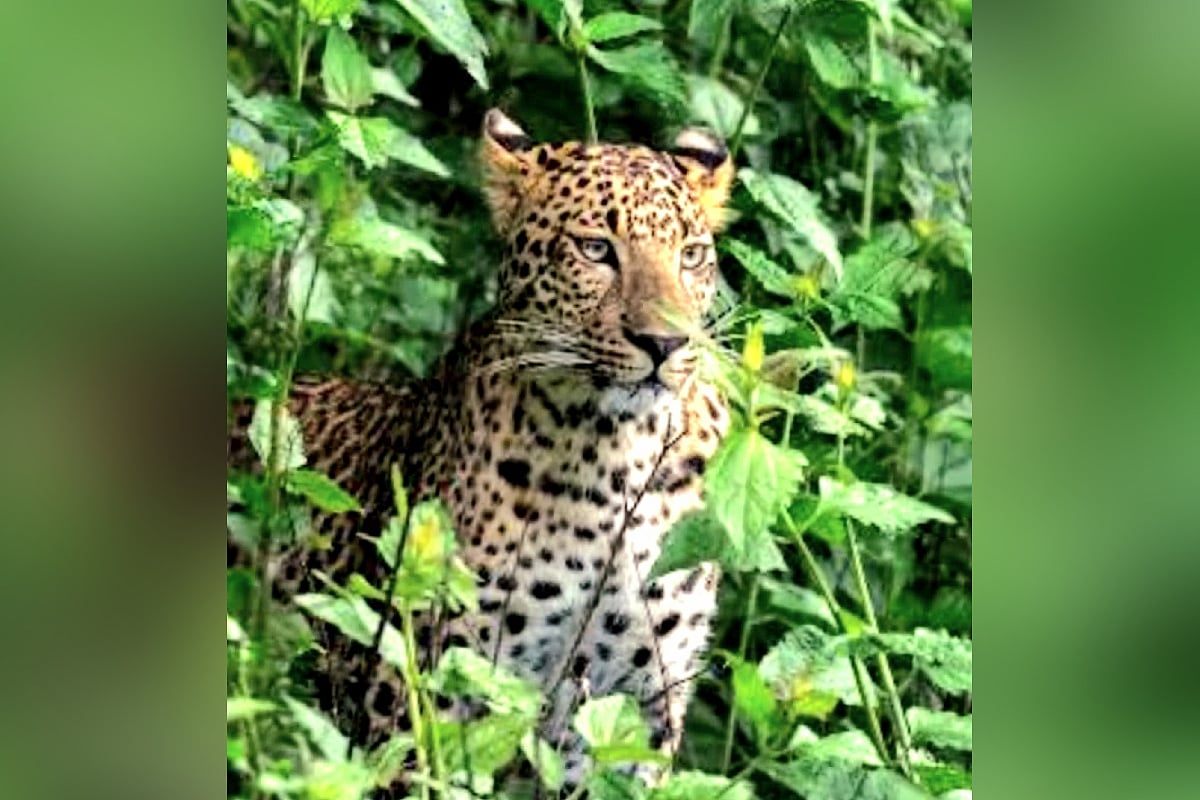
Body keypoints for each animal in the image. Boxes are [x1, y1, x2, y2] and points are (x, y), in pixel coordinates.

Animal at [228, 108, 736, 793]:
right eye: (596, 249)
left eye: (691, 256)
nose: (665, 343)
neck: (619, 453)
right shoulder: (426, 686)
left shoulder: (639, 705)